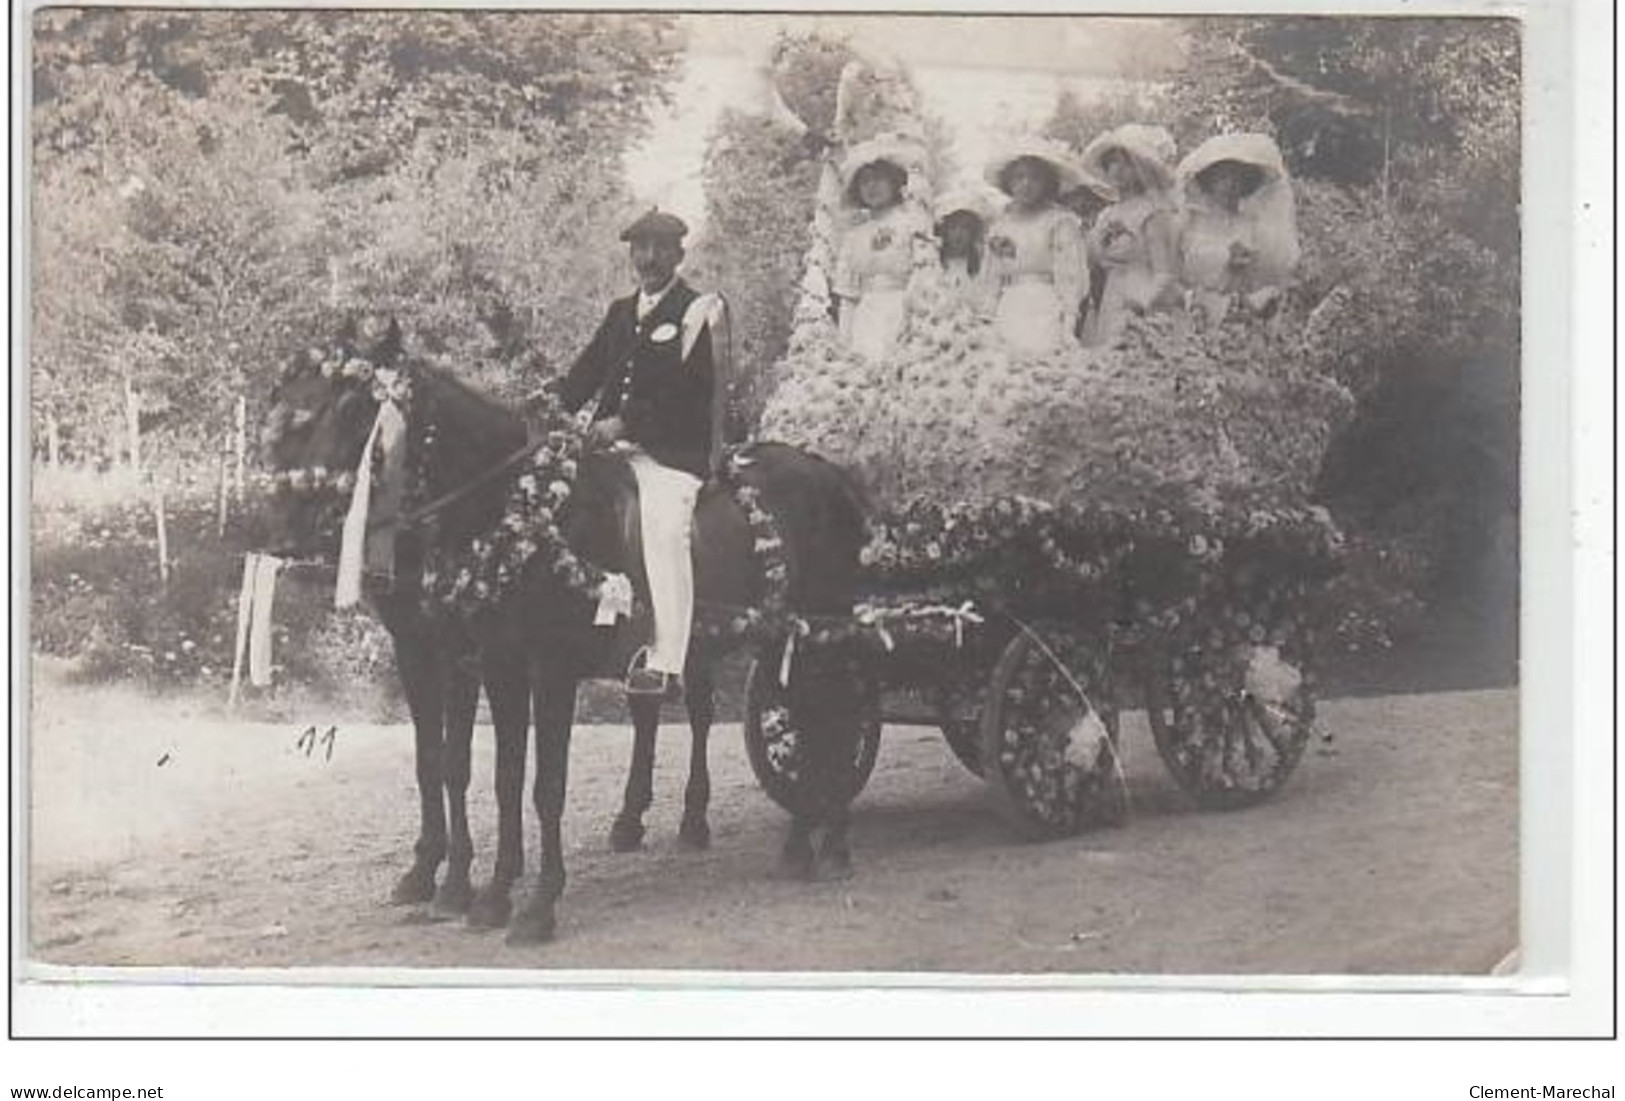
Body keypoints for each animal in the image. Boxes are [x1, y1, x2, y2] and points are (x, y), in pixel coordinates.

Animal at [260, 329, 871, 948]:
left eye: (351, 409)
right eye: (283, 411)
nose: (286, 531)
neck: (519, 509)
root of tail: (829, 473)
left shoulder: (538, 667)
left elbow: (540, 783)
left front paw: (530, 902)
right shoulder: (475, 658)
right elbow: (470, 769)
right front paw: (470, 886)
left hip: (820, 629)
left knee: (836, 715)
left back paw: (824, 840)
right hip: (771, 636)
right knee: (787, 714)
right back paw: (783, 837)